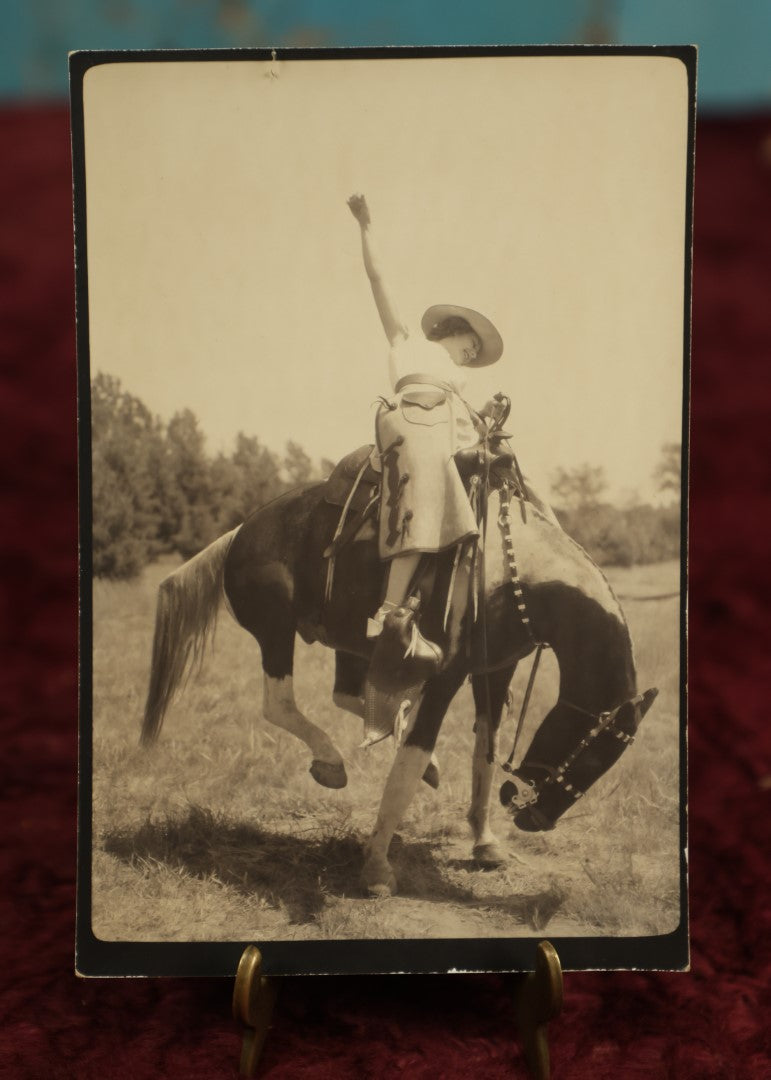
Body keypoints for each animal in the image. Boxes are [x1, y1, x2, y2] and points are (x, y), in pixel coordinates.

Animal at [139, 425, 656, 898]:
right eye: (594, 751)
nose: (537, 820)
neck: (516, 572)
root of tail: (238, 533)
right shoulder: (447, 676)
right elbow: (410, 765)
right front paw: (376, 868)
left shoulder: (494, 672)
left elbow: (484, 752)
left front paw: (484, 842)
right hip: (275, 632)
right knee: (280, 704)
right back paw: (331, 761)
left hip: (345, 642)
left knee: (346, 695)